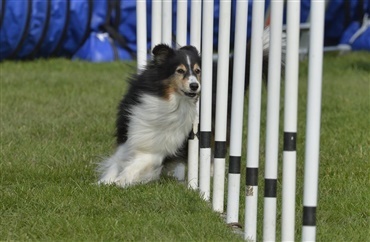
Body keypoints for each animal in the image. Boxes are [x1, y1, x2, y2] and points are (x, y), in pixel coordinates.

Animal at [98, 44, 201, 187]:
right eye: (180, 70)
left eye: (197, 71)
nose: (195, 86)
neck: (170, 102)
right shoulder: (131, 133)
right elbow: (117, 160)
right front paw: (105, 181)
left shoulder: (162, 148)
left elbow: (138, 163)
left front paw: (121, 180)